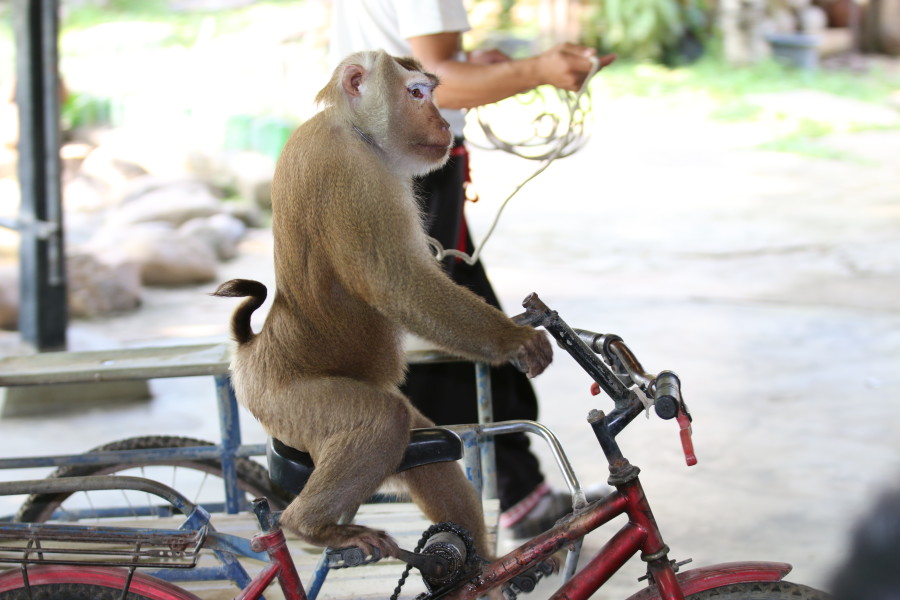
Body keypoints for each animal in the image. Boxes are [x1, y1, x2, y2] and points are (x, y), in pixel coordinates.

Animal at [214, 50, 552, 560]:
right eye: (416, 93)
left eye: (429, 93)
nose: (443, 122)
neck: (350, 125)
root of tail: (250, 350)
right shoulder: (356, 176)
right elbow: (398, 281)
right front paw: (513, 339)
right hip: (285, 406)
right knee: (383, 421)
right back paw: (310, 526)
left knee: (426, 451)